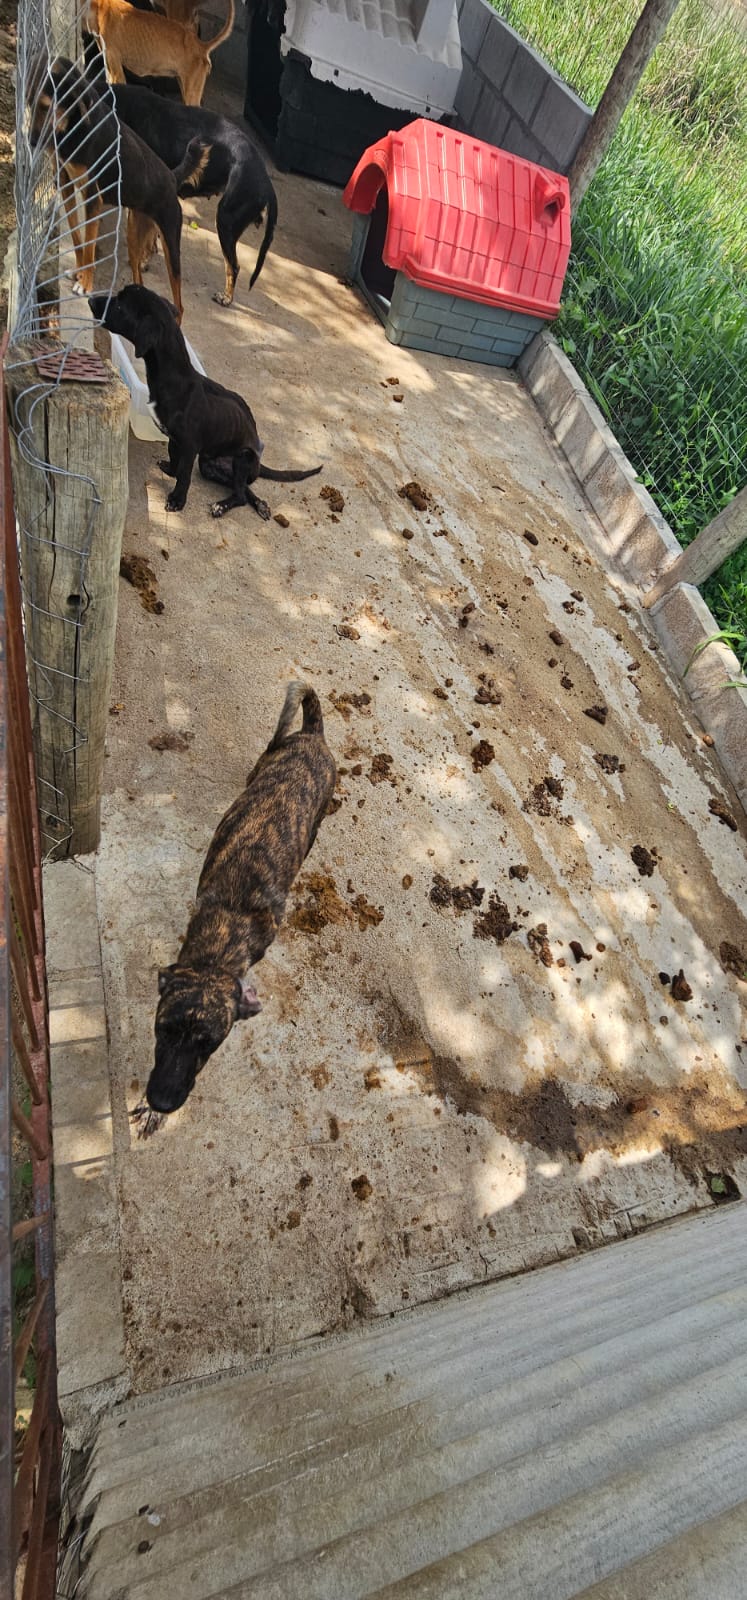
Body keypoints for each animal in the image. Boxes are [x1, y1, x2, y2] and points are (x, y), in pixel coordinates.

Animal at [30, 58, 183, 317]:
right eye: (30, 104)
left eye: (46, 106)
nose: (31, 142)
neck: (77, 126)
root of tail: (172, 180)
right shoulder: (66, 184)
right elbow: (78, 237)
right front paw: (79, 273)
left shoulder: (93, 198)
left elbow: (90, 244)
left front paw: (85, 284)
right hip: (134, 232)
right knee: (139, 280)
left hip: (171, 247)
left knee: (180, 306)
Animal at [90, 284, 322, 515]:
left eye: (120, 305)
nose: (90, 301)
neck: (175, 378)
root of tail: (258, 461)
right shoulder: (175, 439)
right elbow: (174, 460)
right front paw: (170, 470)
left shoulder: (190, 445)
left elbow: (184, 475)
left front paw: (177, 500)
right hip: (209, 465)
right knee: (243, 489)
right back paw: (260, 504)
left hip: (242, 459)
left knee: (240, 495)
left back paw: (223, 506)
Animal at [112, 82, 277, 305]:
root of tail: (266, 183)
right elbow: (152, 238)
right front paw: (147, 258)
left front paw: (142, 260)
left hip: (226, 221)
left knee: (233, 266)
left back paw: (226, 297)